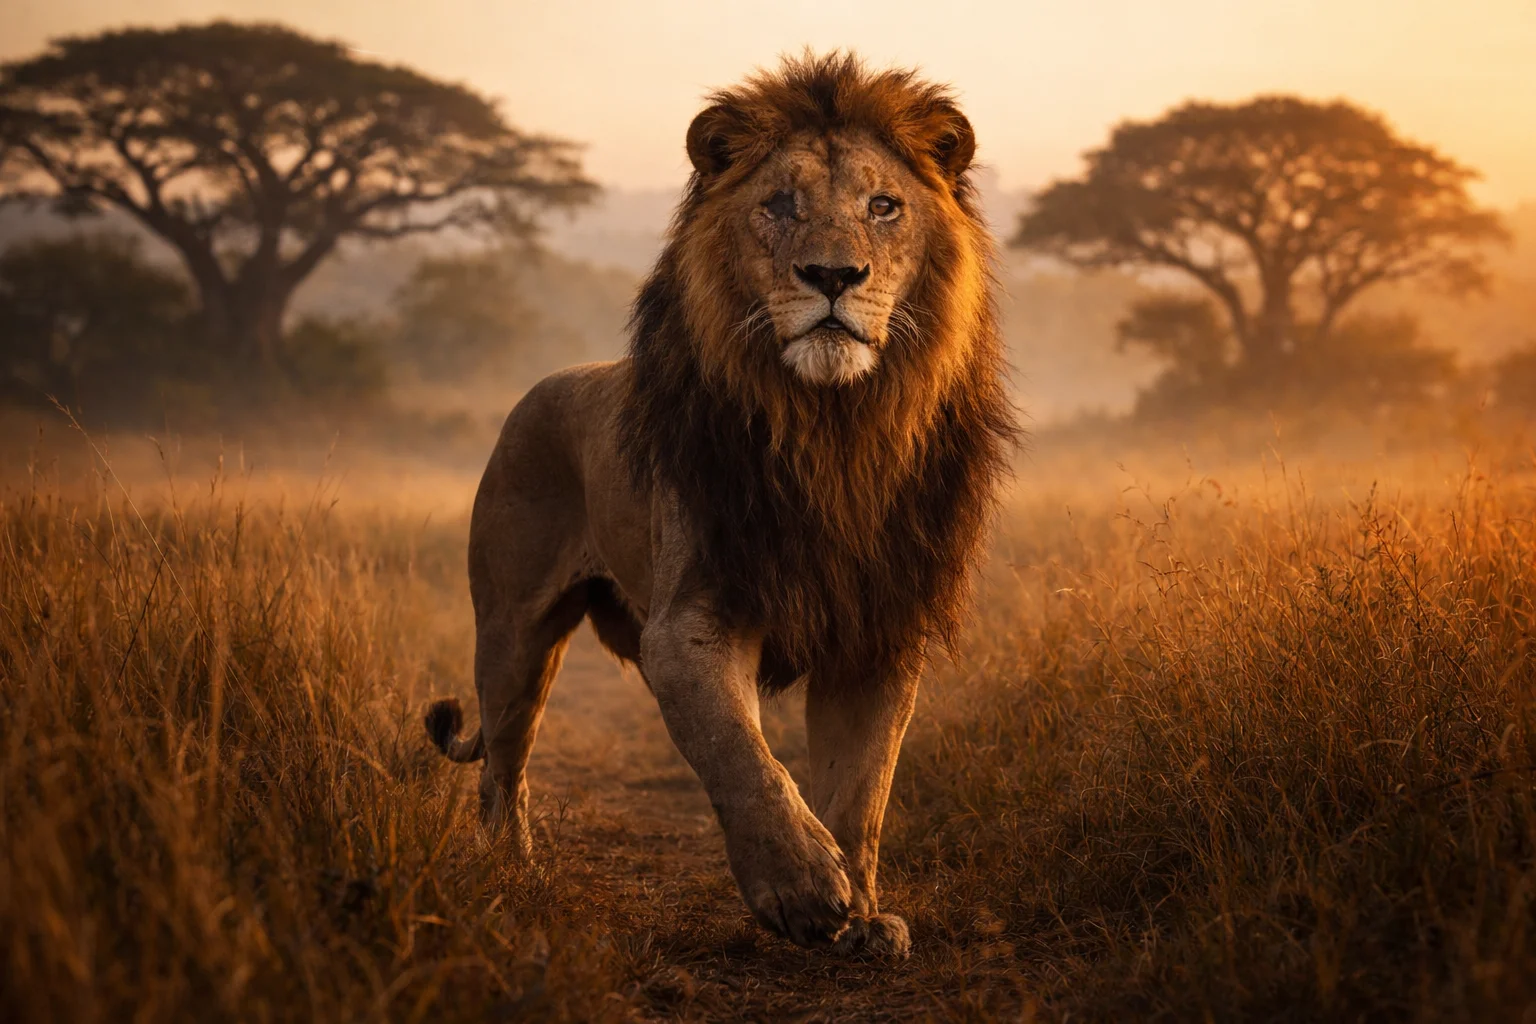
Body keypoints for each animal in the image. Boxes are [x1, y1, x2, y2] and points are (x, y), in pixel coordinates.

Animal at [424, 52, 1016, 958]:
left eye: (884, 206)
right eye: (780, 205)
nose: (833, 276)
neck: (834, 431)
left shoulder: (878, 631)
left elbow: (860, 790)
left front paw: (863, 916)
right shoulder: (690, 621)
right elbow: (739, 750)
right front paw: (799, 885)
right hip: (513, 631)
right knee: (502, 765)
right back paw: (511, 875)